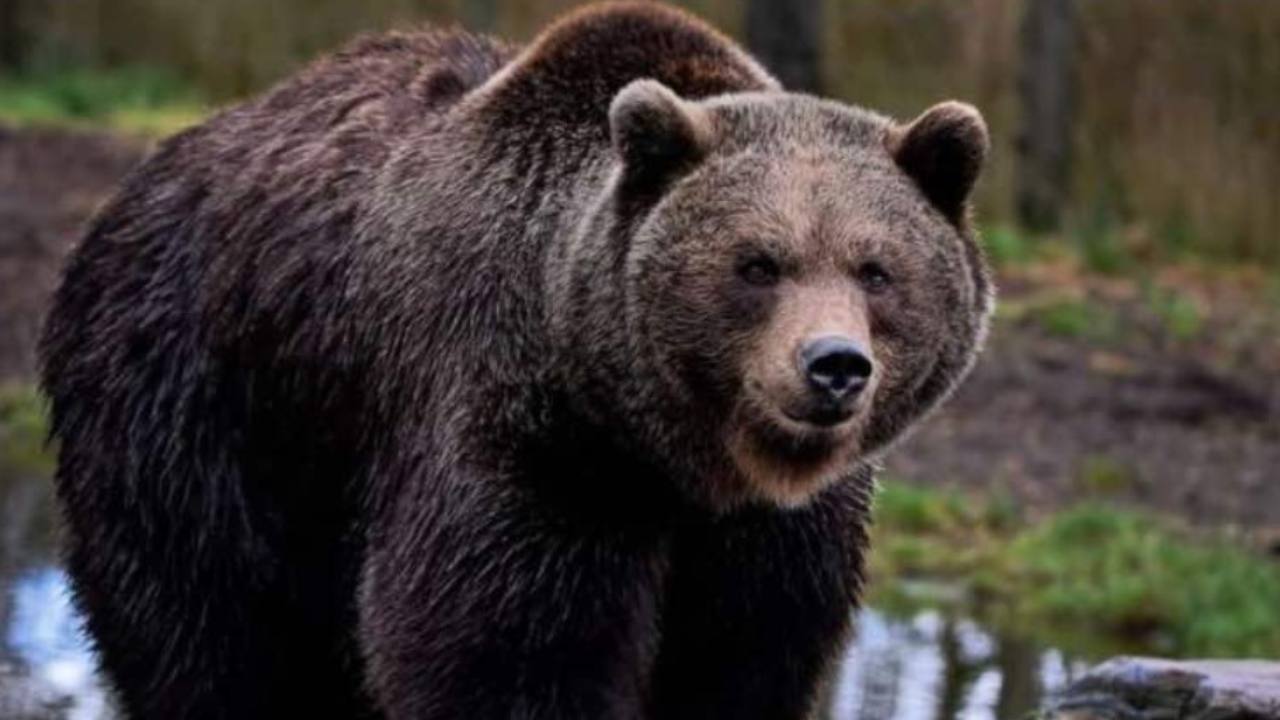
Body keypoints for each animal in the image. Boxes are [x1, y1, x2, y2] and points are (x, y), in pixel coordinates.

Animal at [38, 3, 992, 719]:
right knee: (209, 635)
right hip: (200, 405)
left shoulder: (769, 541)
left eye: (876, 269)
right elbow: (504, 649)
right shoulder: (524, 447)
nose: (832, 366)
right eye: (758, 263)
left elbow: (742, 659)